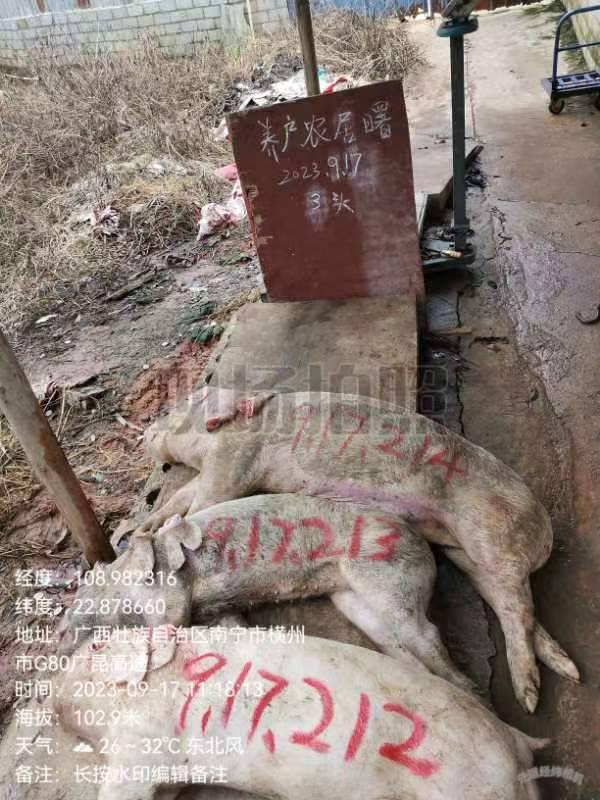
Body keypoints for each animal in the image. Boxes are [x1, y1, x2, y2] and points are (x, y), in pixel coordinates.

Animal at [58, 494, 474, 694]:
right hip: (352, 598)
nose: (58, 637)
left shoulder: (169, 593)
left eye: (82, 598)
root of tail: (423, 543)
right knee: (393, 640)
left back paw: (468, 691)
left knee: (426, 632)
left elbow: (171, 620)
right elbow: (229, 623)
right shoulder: (213, 607)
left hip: (387, 576)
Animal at [137, 387, 579, 713]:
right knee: (513, 607)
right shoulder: (212, 469)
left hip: (492, 536)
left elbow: (203, 502)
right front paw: (145, 524)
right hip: (463, 554)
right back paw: (565, 673)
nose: (145, 431)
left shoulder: (233, 460)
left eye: (176, 407)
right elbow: (182, 498)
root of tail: (544, 532)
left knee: (517, 604)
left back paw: (530, 700)